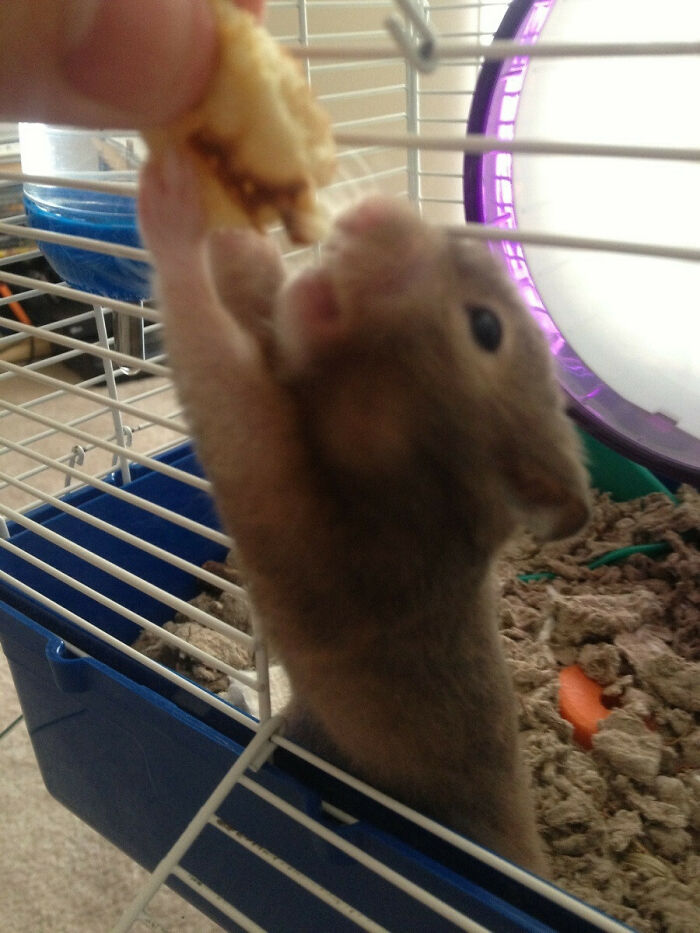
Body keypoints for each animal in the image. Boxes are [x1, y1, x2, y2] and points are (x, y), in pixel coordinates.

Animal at [139, 152, 591, 876]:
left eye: (486, 327)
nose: (381, 210)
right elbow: (257, 297)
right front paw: (244, 231)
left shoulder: (294, 519)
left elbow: (222, 369)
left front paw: (174, 194)